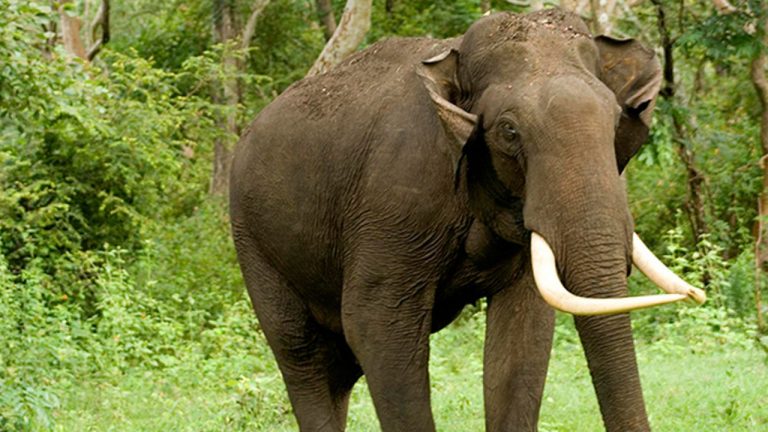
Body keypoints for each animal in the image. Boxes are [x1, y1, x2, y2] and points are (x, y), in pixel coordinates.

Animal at [229, 8, 706, 432]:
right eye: (509, 131)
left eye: (614, 121)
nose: (697, 294)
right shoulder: (392, 200)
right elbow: (375, 324)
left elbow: (524, 335)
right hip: (253, 240)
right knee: (301, 352)